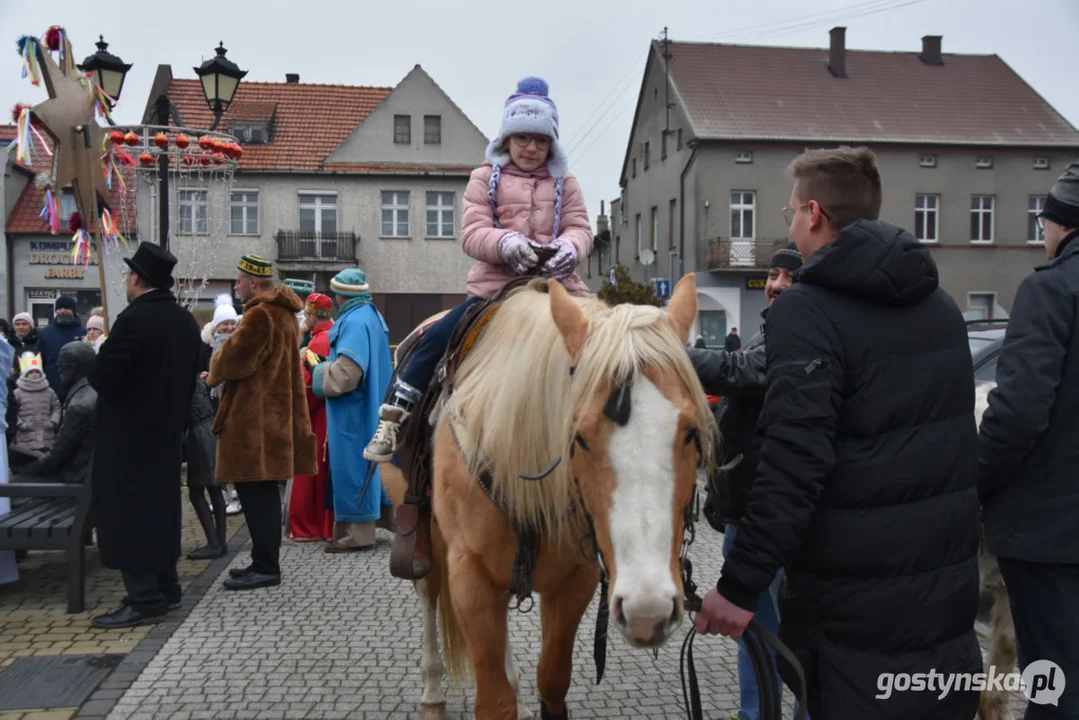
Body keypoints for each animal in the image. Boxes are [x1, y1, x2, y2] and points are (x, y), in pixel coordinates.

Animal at [401, 273, 712, 716]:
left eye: (691, 432)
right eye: (578, 437)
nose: (647, 611)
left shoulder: (575, 581)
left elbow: (551, 680)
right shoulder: (469, 579)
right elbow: (494, 701)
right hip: (424, 539)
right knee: (428, 593)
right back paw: (432, 694)